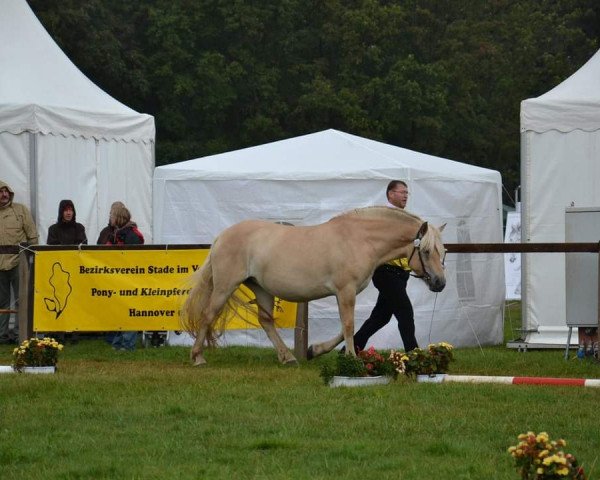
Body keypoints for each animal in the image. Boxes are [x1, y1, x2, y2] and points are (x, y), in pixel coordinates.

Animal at [182, 204, 446, 366]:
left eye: (442, 251)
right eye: (425, 251)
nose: (440, 283)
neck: (359, 239)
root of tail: (221, 236)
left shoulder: (345, 294)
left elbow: (350, 327)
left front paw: (315, 350)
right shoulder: (345, 291)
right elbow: (349, 325)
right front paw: (351, 359)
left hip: (261, 288)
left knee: (265, 321)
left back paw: (287, 357)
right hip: (225, 286)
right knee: (207, 315)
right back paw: (197, 358)